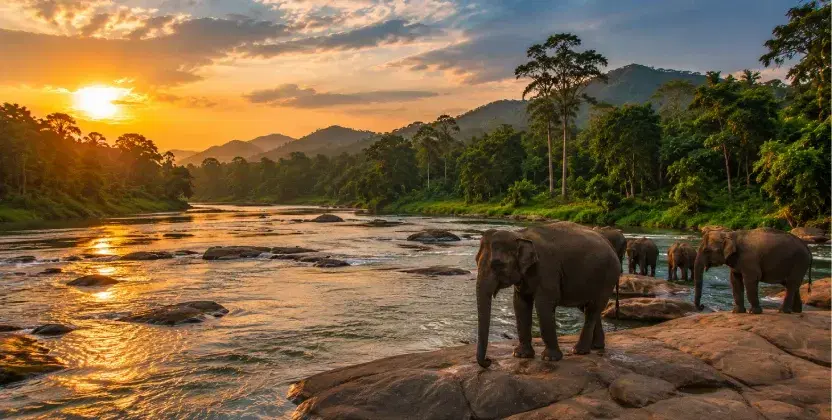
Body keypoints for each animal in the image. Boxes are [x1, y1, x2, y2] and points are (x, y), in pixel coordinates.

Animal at [475, 221, 620, 368]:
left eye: (497, 264)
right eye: (475, 260)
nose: (489, 360)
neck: (520, 234)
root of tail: (610, 245)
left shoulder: (547, 270)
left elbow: (543, 305)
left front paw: (550, 358)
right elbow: (520, 304)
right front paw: (521, 355)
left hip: (607, 277)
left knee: (593, 309)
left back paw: (579, 351)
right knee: (588, 308)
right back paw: (596, 347)